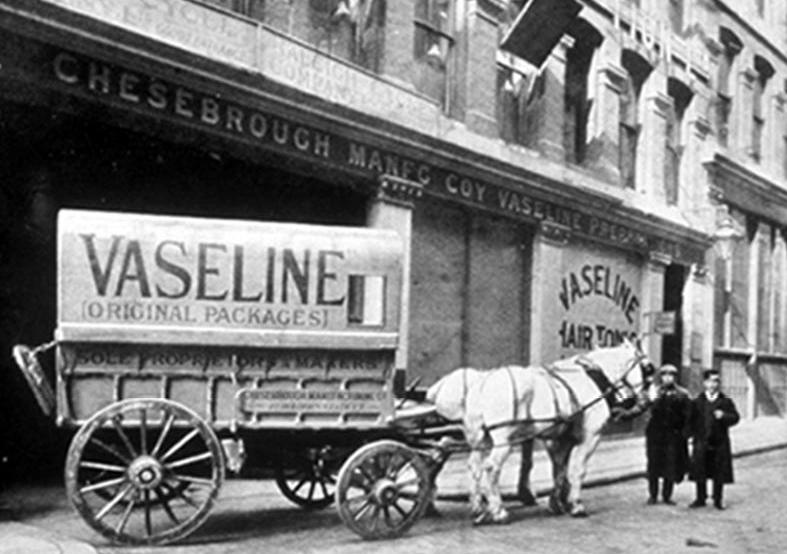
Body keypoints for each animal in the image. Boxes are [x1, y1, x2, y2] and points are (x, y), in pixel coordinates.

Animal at [428, 336, 656, 520]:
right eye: (648, 368)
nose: (650, 399)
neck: (593, 378)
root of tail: (484, 383)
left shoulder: (561, 439)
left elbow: (560, 470)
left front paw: (557, 503)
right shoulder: (591, 437)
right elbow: (577, 470)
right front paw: (576, 505)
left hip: (479, 438)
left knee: (475, 466)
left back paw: (478, 507)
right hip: (504, 440)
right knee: (491, 467)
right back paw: (498, 510)